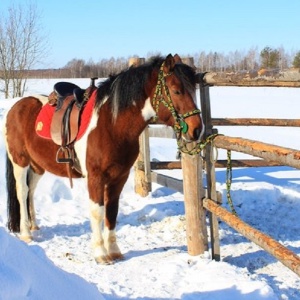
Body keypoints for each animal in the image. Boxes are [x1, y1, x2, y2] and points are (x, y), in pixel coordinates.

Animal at [3, 53, 203, 262]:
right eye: (177, 91)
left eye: (193, 90)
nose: (197, 129)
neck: (112, 125)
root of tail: (16, 107)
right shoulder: (95, 178)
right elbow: (97, 212)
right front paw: (100, 253)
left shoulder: (119, 177)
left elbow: (112, 211)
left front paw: (114, 250)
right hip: (20, 162)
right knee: (22, 191)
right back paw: (26, 233)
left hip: (37, 166)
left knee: (31, 191)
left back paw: (34, 225)